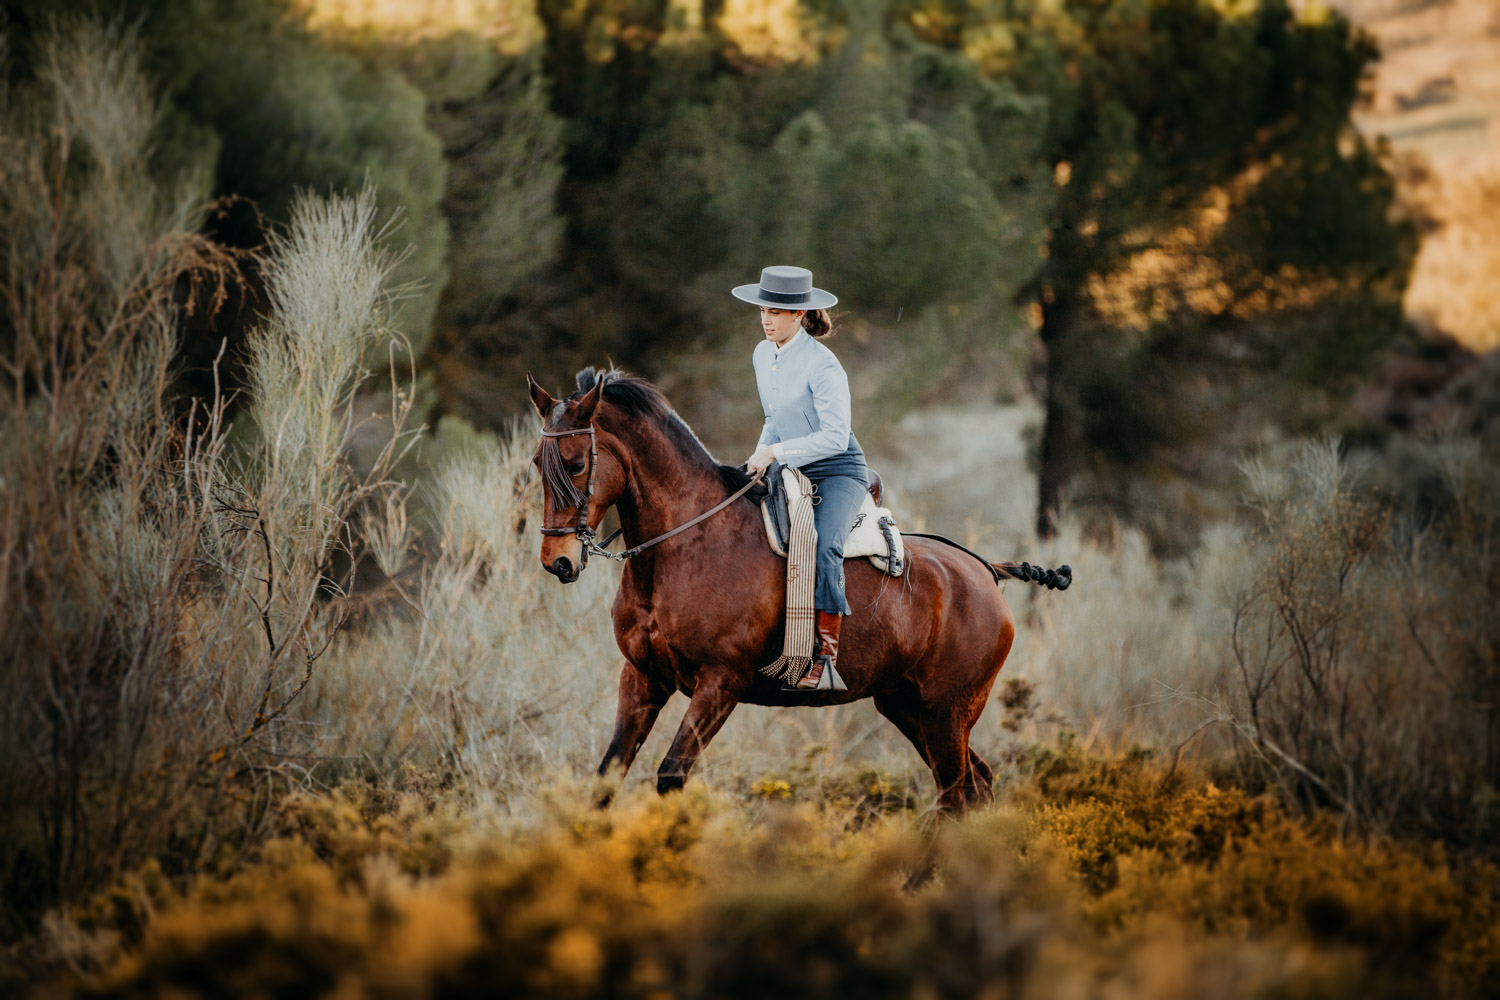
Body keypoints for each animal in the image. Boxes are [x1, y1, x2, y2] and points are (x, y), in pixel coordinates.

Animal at [528, 367, 1068, 815]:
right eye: (537, 461)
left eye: (575, 464)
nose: (558, 560)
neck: (685, 545)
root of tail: (986, 573)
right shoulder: (643, 678)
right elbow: (606, 778)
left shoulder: (719, 684)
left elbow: (671, 776)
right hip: (908, 707)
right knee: (974, 786)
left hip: (947, 712)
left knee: (956, 795)